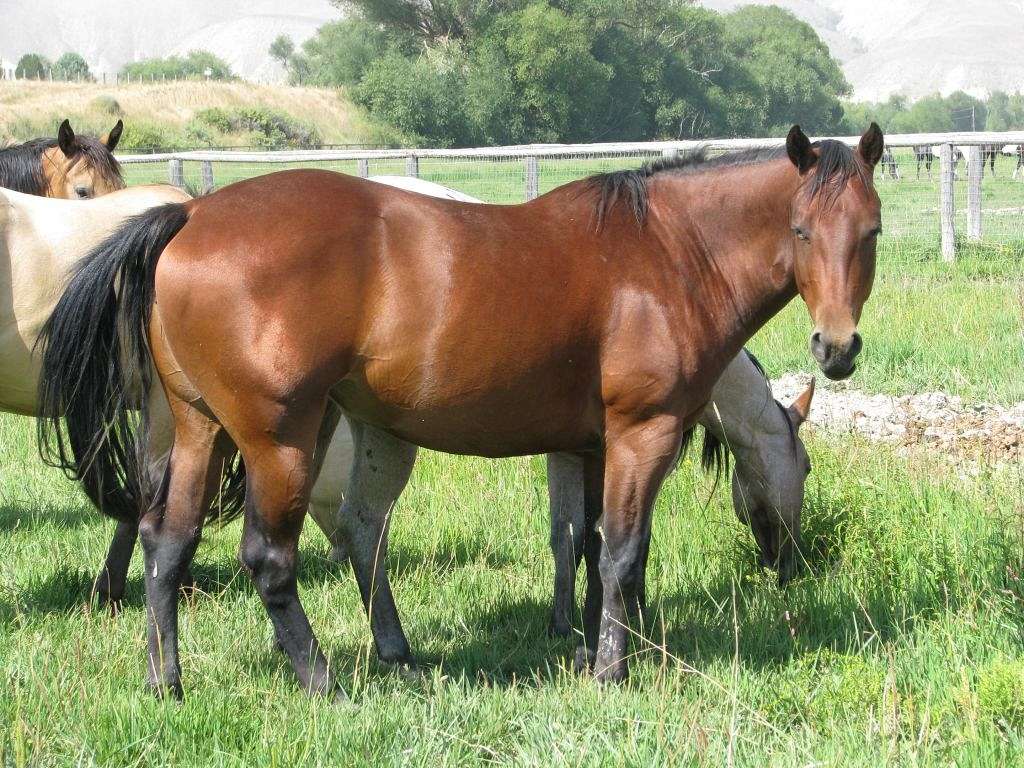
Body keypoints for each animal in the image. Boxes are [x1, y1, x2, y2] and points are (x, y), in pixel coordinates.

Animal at [38, 123, 883, 699]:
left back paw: (168, 681)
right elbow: (621, 551)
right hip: (281, 443)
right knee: (268, 559)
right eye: (801, 229)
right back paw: (322, 681)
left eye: (871, 231)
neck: (668, 252)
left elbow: (589, 545)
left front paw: (603, 644)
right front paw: (613, 668)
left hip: (199, 431)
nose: (836, 347)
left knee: (166, 543)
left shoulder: (591, 445)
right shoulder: (644, 433)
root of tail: (192, 217)